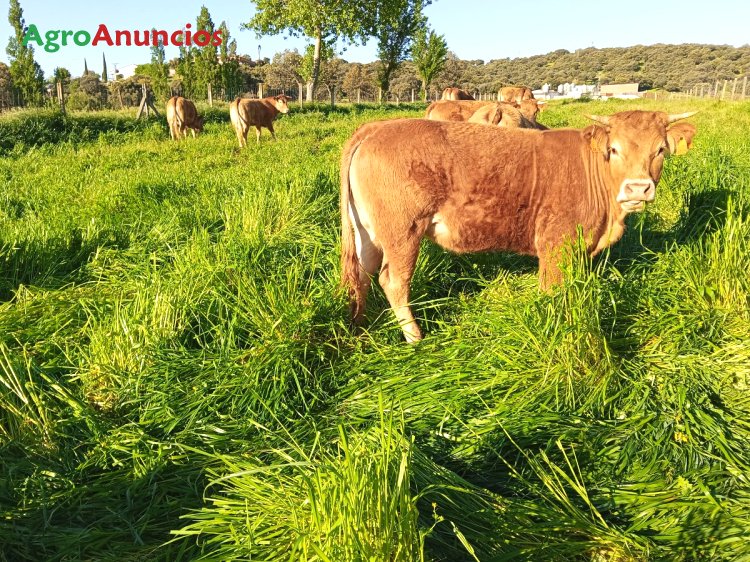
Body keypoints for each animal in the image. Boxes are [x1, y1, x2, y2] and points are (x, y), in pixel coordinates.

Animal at [340, 110, 697, 342]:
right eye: (614, 149)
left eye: (660, 150)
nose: (638, 188)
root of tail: (375, 128)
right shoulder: (555, 245)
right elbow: (552, 291)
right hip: (404, 232)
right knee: (393, 281)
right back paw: (414, 336)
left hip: (367, 232)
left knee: (362, 274)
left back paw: (360, 326)